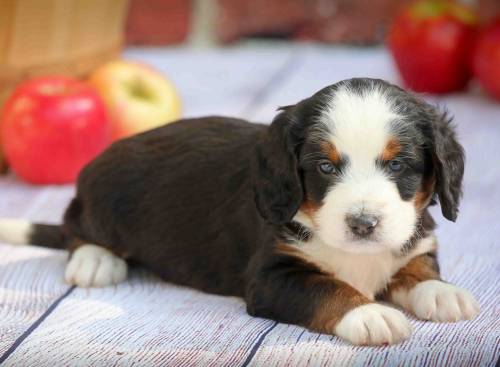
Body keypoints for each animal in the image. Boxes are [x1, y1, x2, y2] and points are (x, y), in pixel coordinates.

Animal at [0, 79, 480, 346]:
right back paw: (95, 259)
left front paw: (440, 292)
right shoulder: (272, 276)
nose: (363, 224)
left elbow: (416, 266)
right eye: (325, 167)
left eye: (397, 165)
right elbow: (328, 288)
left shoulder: (414, 239)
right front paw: (368, 313)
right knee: (73, 226)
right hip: (103, 201)